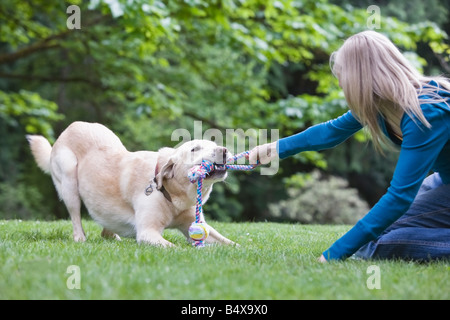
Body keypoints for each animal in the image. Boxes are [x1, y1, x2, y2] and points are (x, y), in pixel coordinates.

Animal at [25, 121, 236, 246]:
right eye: (195, 149)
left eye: (214, 144)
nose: (224, 150)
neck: (172, 195)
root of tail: (71, 127)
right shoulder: (147, 231)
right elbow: (173, 247)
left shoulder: (197, 225)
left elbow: (229, 243)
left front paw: (241, 251)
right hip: (69, 181)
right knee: (76, 217)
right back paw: (80, 238)